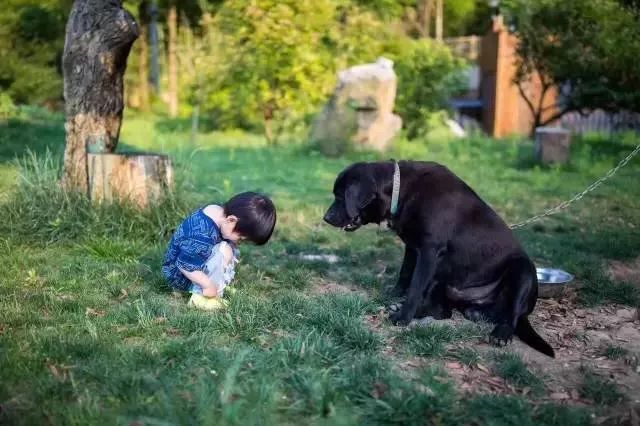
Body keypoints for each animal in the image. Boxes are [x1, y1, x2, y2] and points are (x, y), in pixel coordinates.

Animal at [324, 160, 556, 356]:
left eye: (340, 196)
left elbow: (415, 287)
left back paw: (502, 333)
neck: (402, 190)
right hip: (445, 282)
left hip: (523, 270)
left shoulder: (429, 250)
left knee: (512, 315)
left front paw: (403, 318)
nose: (325, 218)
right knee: (444, 311)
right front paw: (394, 297)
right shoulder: (412, 247)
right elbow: (405, 275)